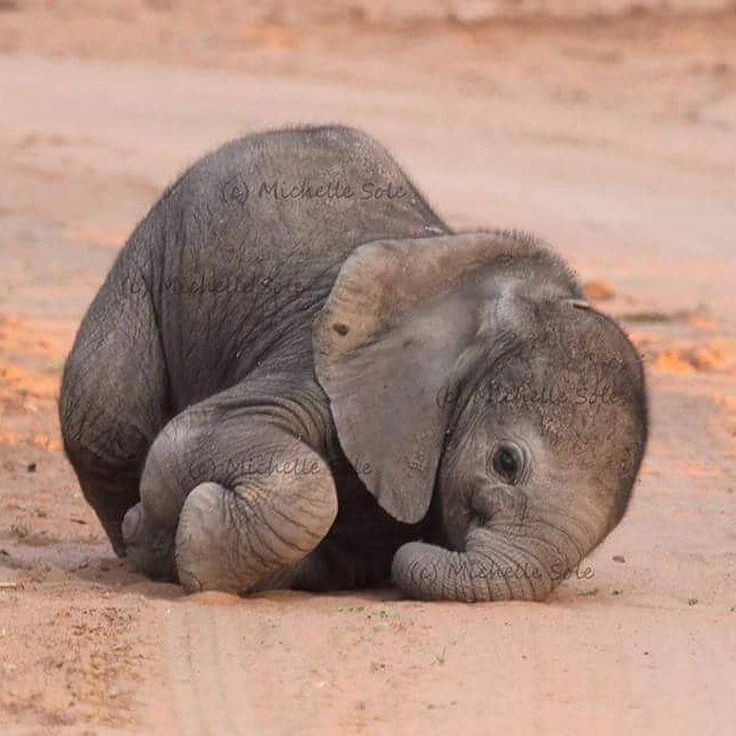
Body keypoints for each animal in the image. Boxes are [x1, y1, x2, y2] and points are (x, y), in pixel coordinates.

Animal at [60, 126, 648, 600]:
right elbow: (191, 441)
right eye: (506, 462)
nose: (433, 549)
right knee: (106, 420)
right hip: (146, 260)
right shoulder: (325, 366)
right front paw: (181, 529)